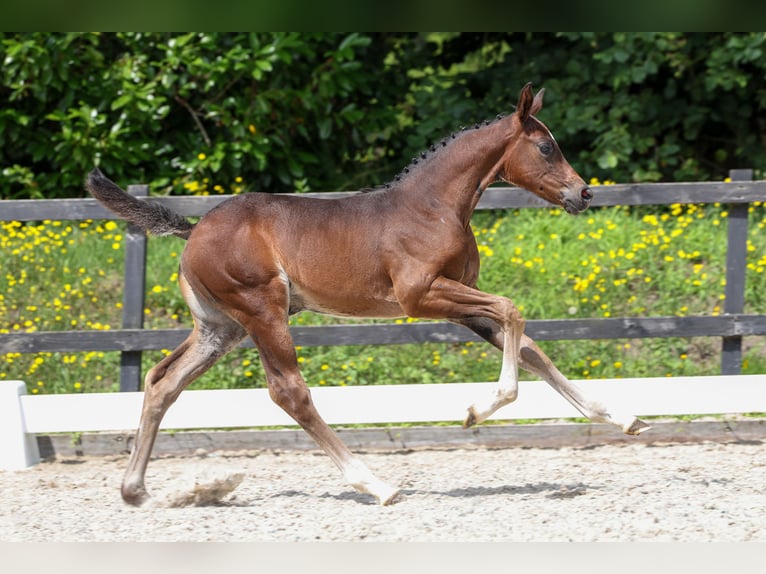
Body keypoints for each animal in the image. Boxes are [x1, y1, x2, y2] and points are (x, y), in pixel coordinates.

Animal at [87, 83, 652, 506]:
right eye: (545, 147)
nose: (583, 193)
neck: (433, 206)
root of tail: (195, 229)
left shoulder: (461, 299)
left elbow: (530, 347)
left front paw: (624, 418)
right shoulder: (422, 297)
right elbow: (515, 314)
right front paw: (476, 411)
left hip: (219, 328)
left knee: (164, 381)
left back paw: (135, 490)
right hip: (262, 312)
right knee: (288, 392)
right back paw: (377, 485)